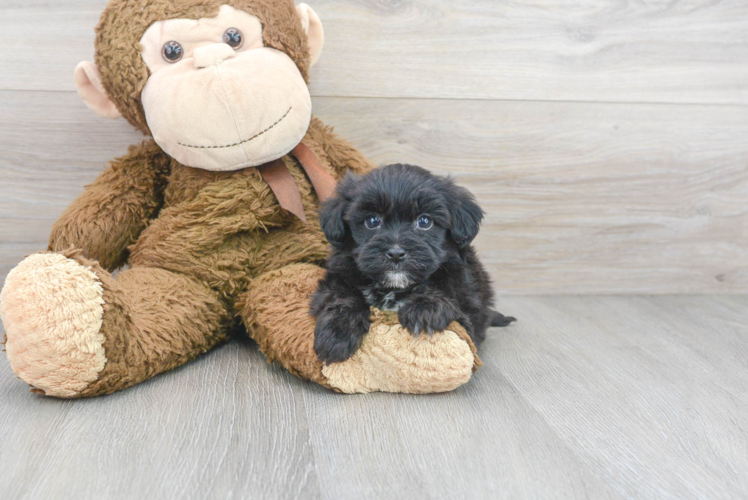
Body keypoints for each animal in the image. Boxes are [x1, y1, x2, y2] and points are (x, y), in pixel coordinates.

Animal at [310, 164, 516, 364]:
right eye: (372, 221)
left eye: (424, 221)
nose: (396, 254)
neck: (395, 287)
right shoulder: (336, 277)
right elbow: (343, 296)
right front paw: (337, 334)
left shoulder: (467, 305)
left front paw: (425, 308)